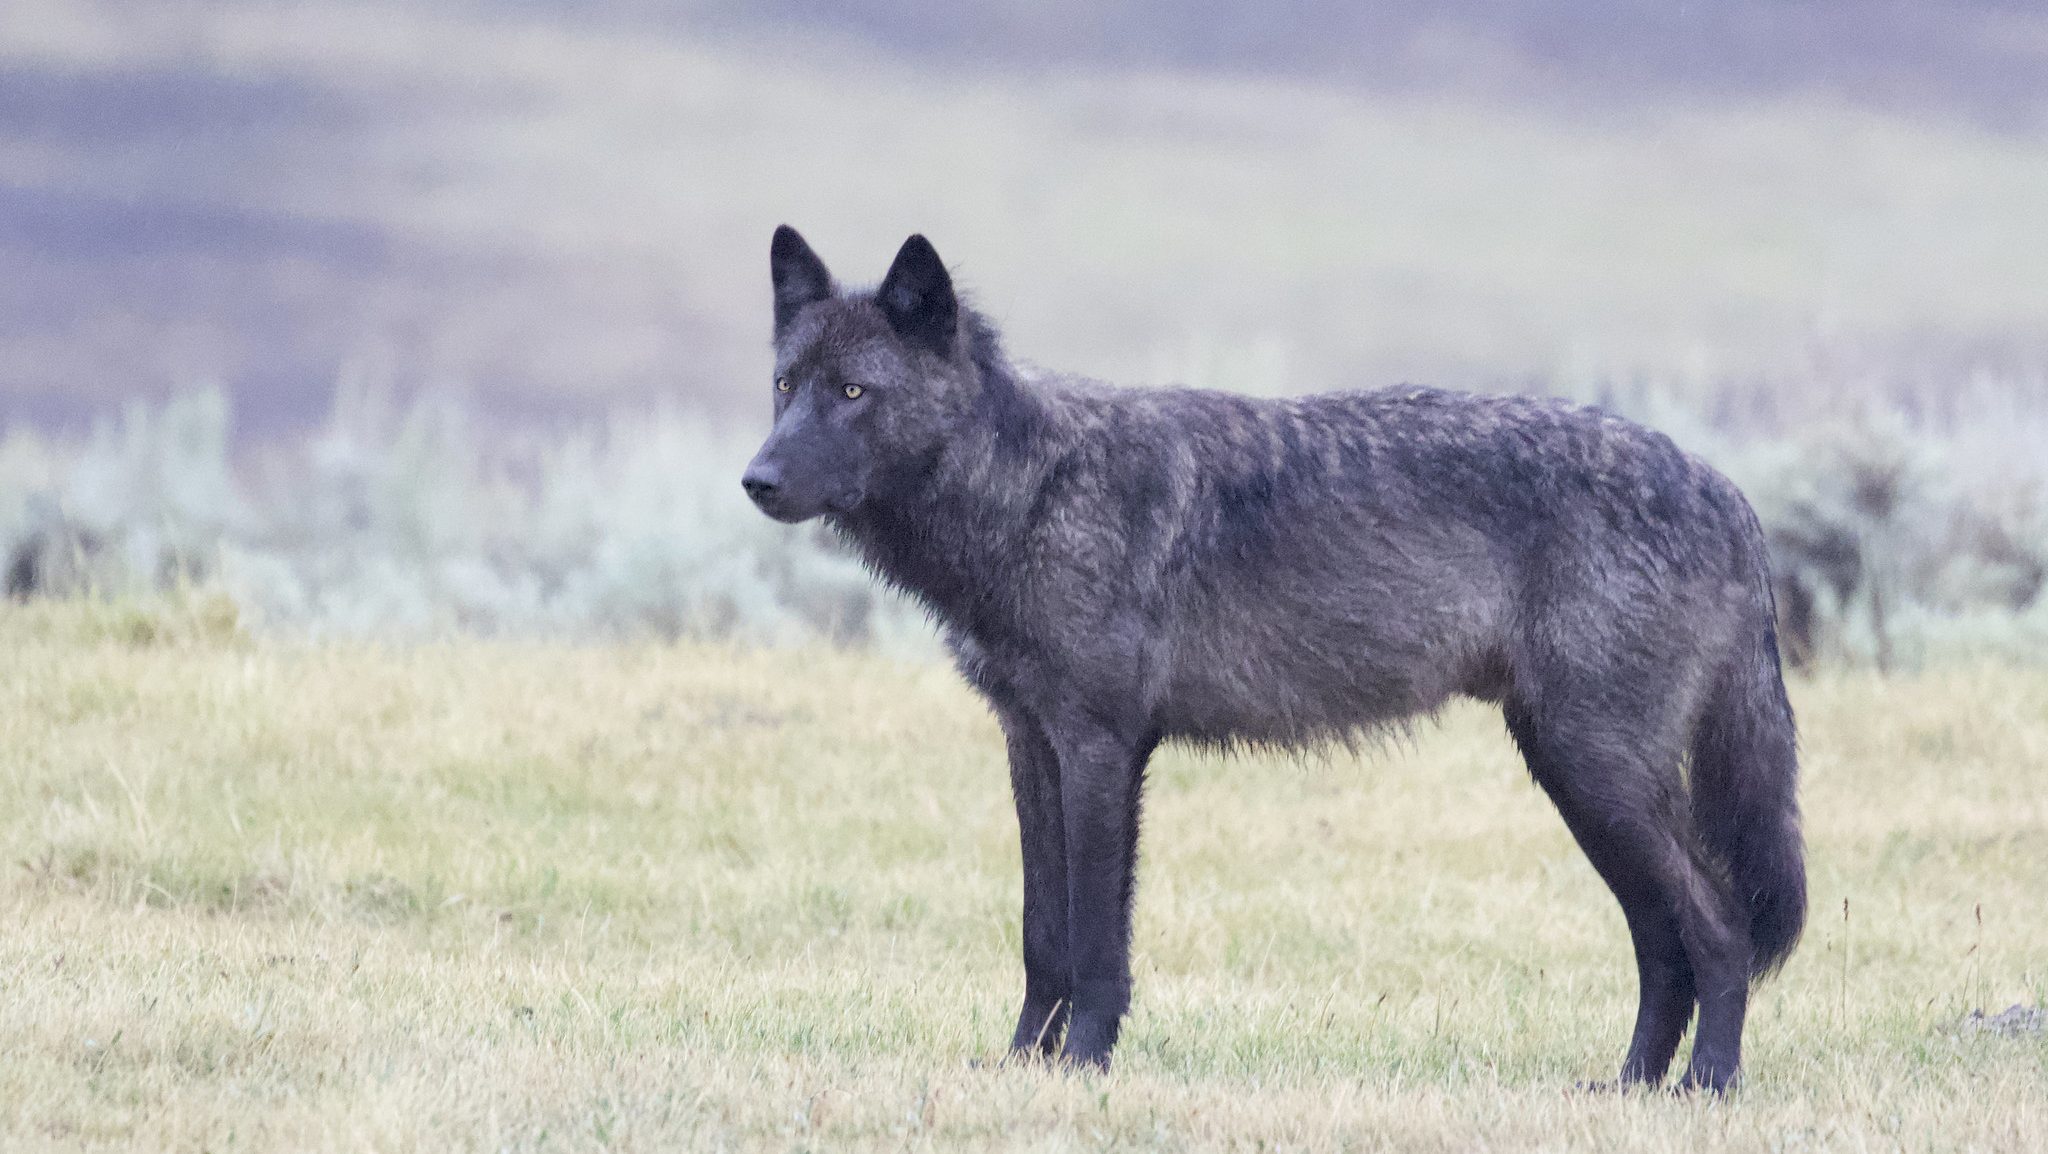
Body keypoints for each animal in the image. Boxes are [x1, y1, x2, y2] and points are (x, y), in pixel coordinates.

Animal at [745, 225, 1802, 1090]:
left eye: (854, 393)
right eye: (787, 386)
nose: (755, 480)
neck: (1033, 490)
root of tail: (1729, 493)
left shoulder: (1101, 751)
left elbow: (1095, 943)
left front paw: (1082, 1066)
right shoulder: (1030, 745)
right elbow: (1042, 936)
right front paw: (1019, 1068)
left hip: (1597, 776)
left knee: (1719, 931)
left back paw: (1706, 1091)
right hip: (1579, 780)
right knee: (1663, 944)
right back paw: (1629, 1089)